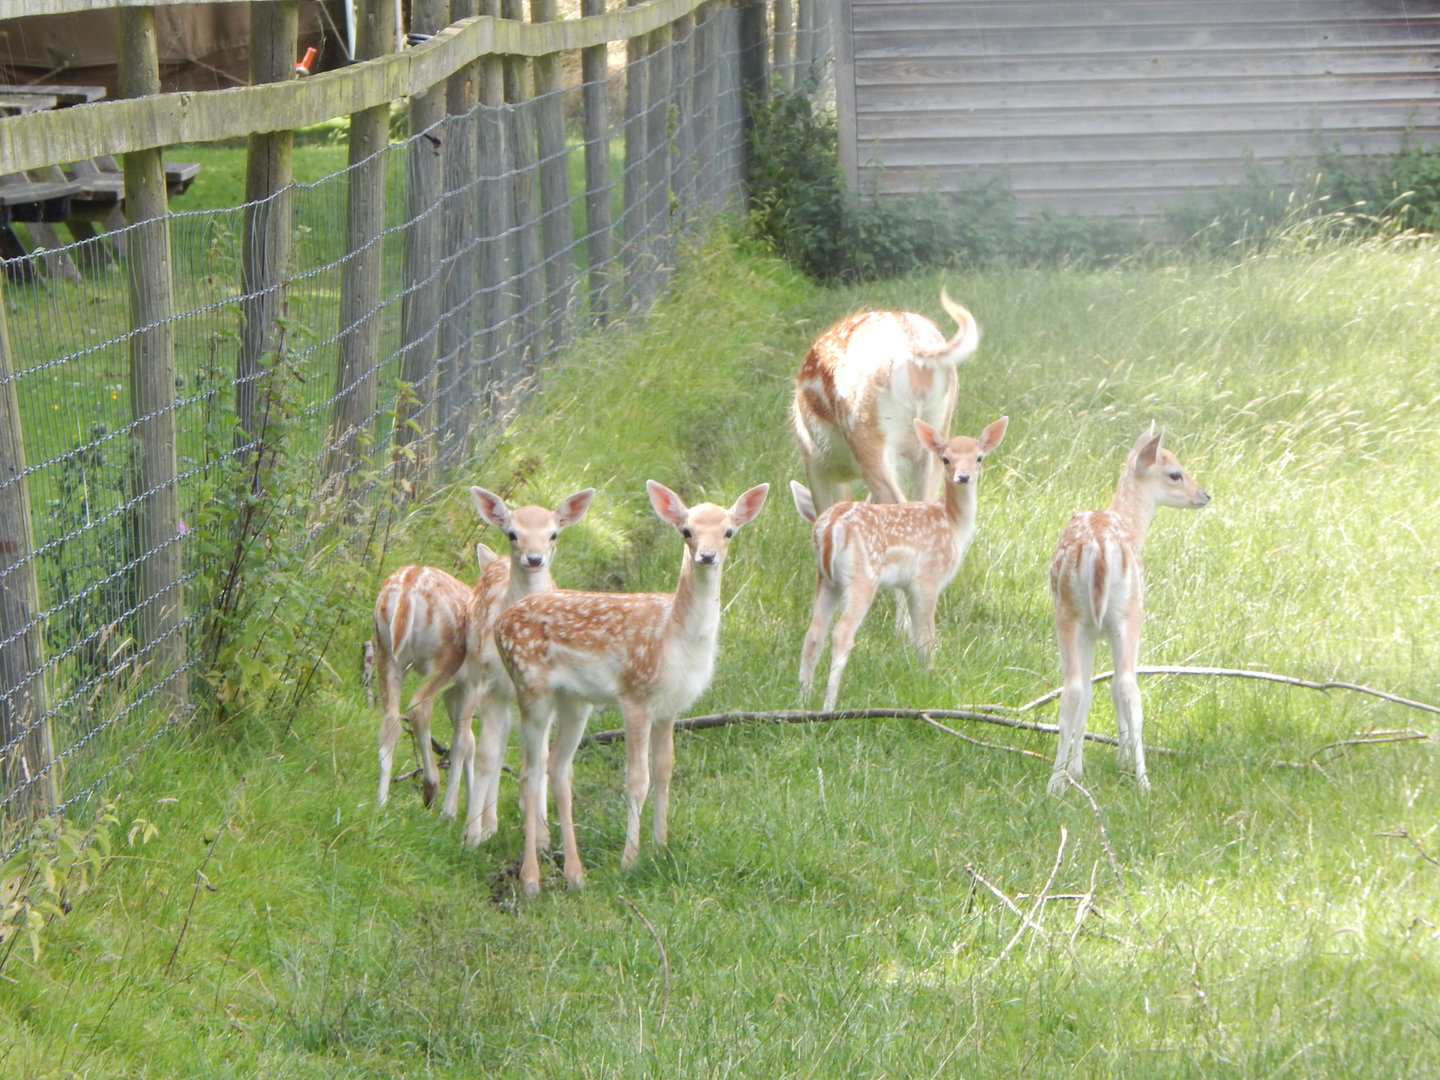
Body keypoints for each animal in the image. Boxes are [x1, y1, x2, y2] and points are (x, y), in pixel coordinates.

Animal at [372, 486, 595, 837]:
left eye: (553, 534)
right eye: (512, 533)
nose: (534, 559)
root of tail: (406, 591)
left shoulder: (468, 689)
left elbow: (479, 742)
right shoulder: (476, 683)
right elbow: (475, 743)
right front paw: (470, 818)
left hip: (385, 652)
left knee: (392, 718)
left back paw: (382, 803)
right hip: (446, 658)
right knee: (421, 708)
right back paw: (432, 790)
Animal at [494, 480, 769, 897]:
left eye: (728, 532)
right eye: (686, 531)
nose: (706, 556)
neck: (674, 638)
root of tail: (498, 623)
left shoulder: (670, 707)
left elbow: (665, 771)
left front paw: (661, 844)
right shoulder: (635, 696)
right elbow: (637, 780)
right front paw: (629, 860)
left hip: (573, 700)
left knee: (556, 767)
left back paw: (574, 873)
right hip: (529, 685)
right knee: (529, 772)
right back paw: (530, 879)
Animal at [791, 416, 1008, 711]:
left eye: (979, 457)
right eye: (946, 459)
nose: (963, 477)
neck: (953, 525)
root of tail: (829, 528)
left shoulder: (907, 585)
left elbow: (916, 637)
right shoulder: (927, 579)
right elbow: (927, 639)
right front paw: (931, 680)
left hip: (826, 580)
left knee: (813, 635)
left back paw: (801, 703)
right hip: (862, 576)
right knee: (841, 633)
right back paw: (829, 706)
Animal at [1048, 429, 1210, 796]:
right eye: (1175, 473)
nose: (1205, 495)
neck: (1131, 525)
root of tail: (1098, 548)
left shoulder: (1091, 631)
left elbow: (1089, 691)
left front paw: (1076, 769)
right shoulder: (1111, 626)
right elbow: (1111, 690)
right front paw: (1119, 759)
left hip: (1068, 613)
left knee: (1073, 688)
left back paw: (1055, 783)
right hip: (1129, 613)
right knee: (1128, 687)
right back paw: (1143, 781)